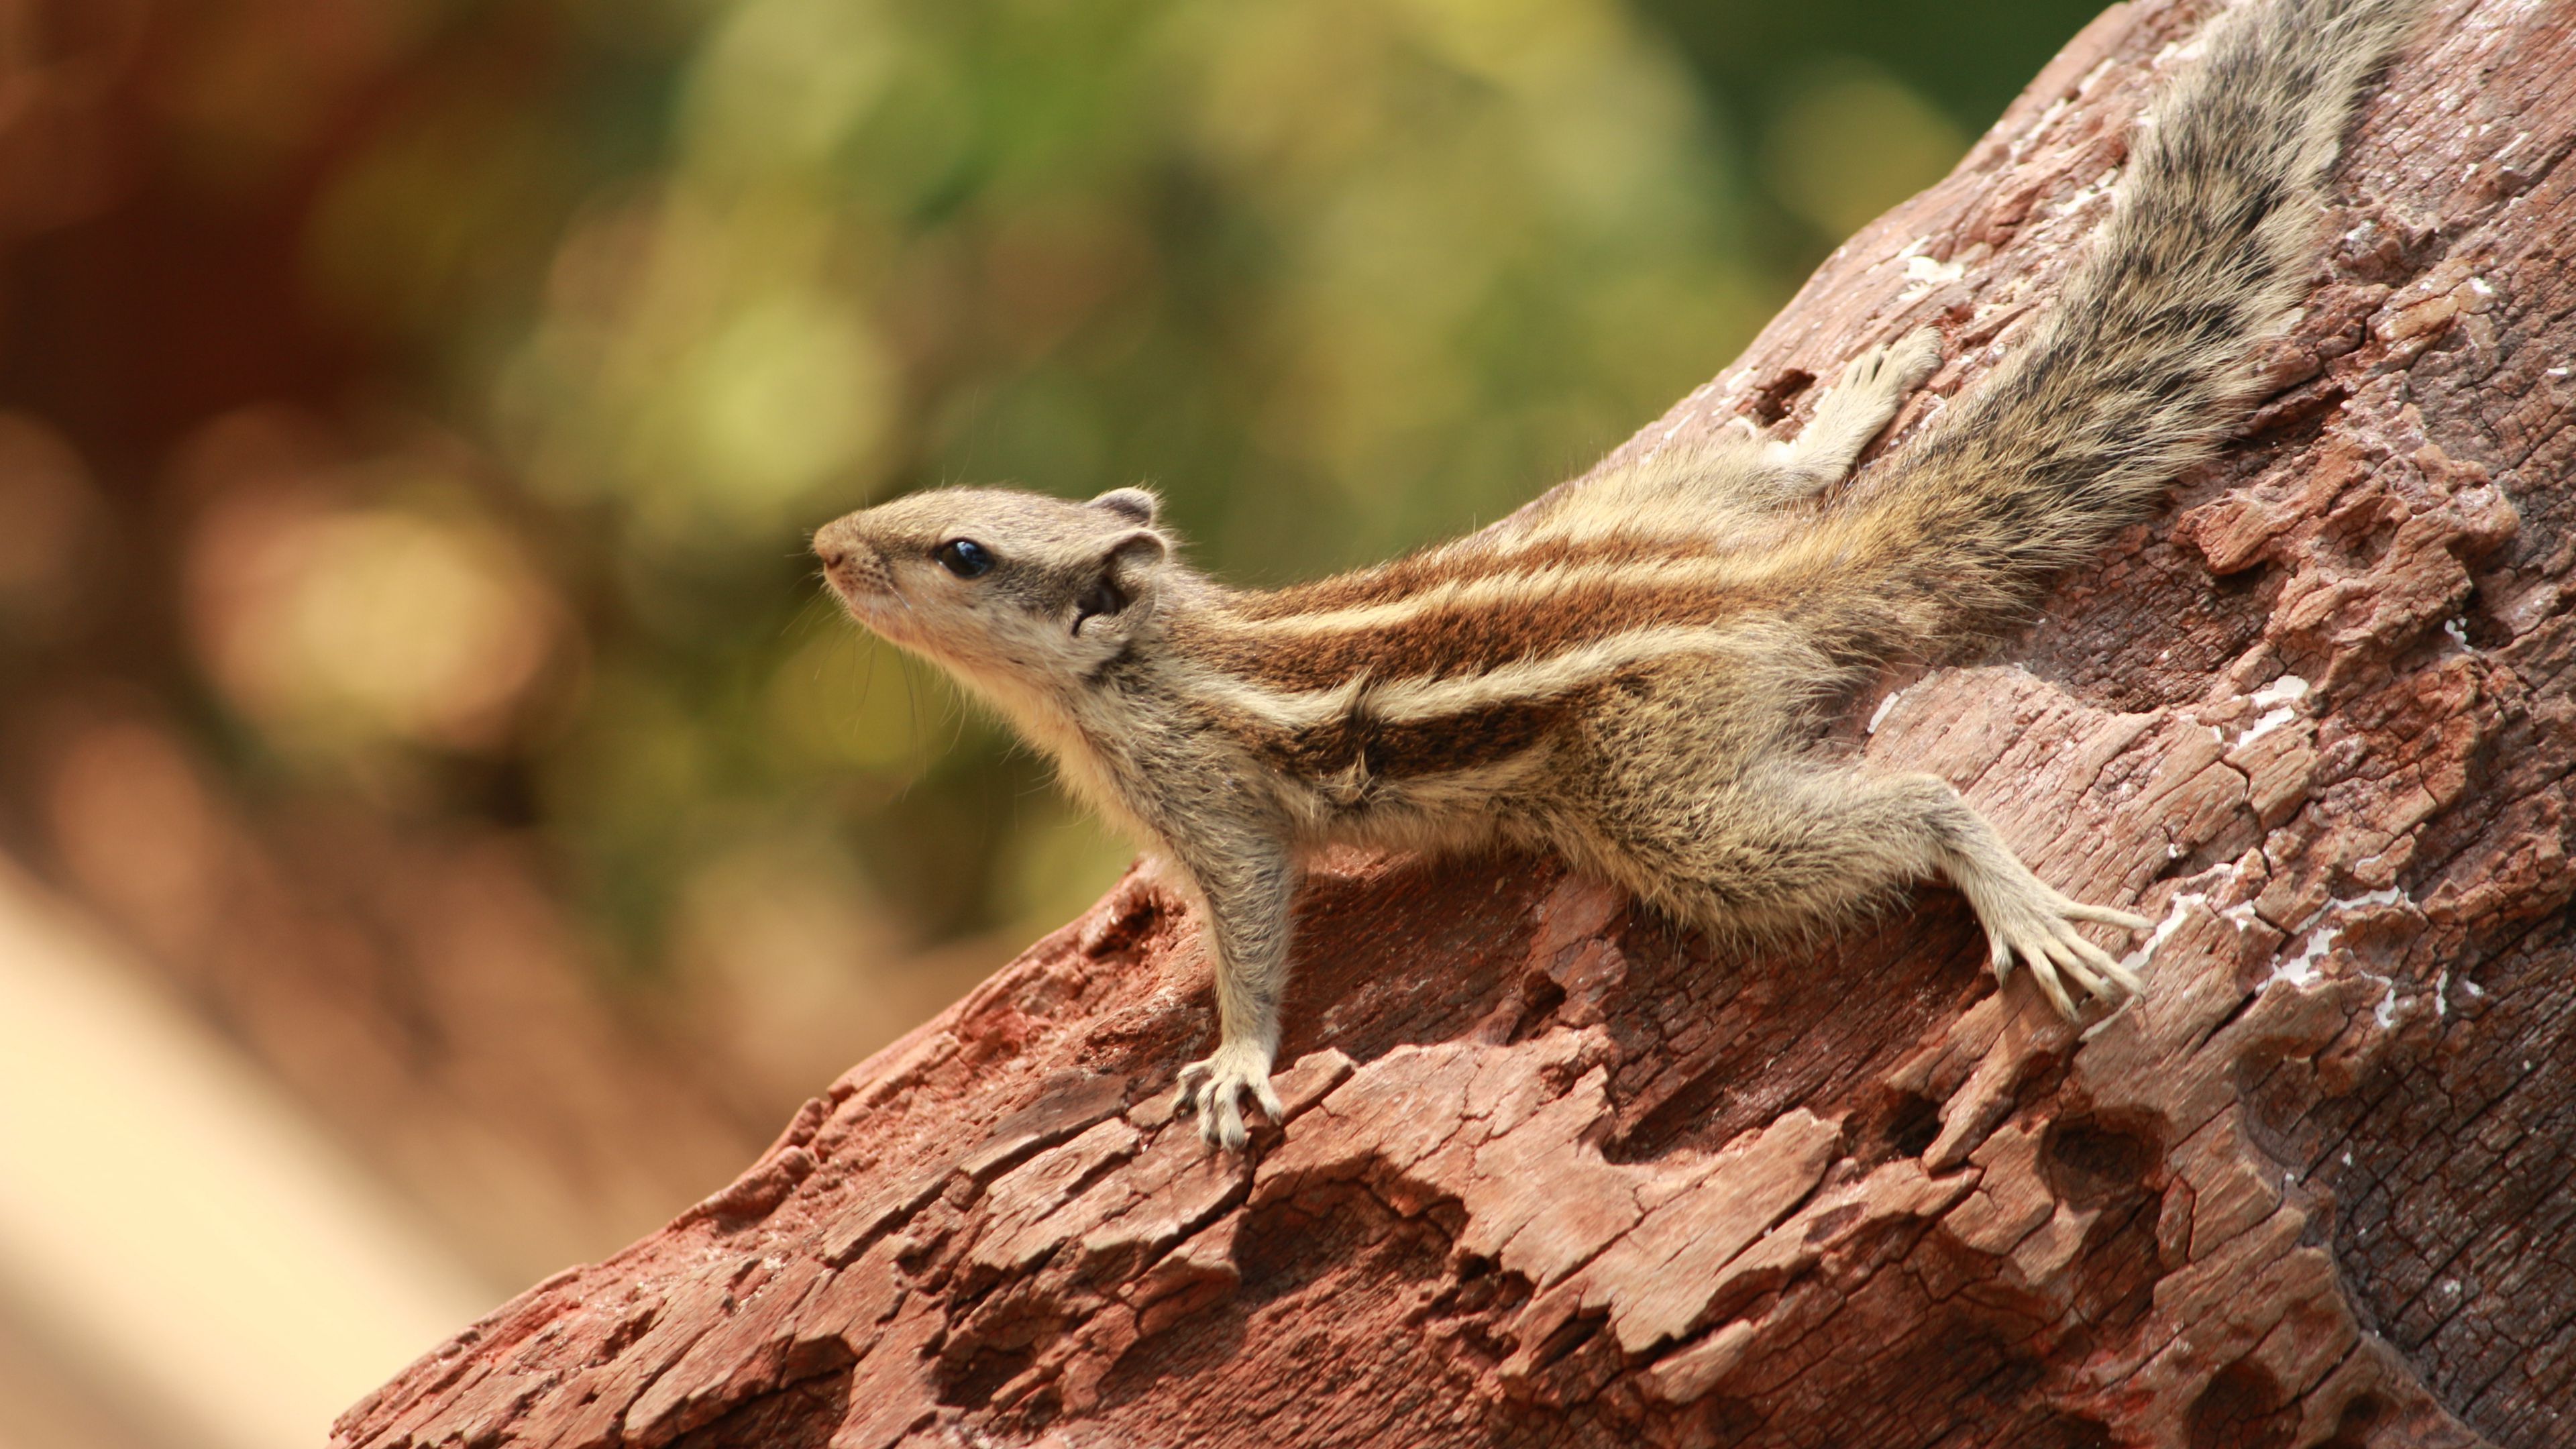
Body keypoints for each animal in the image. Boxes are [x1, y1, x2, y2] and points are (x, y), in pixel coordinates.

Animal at [815, 0, 2428, 1149]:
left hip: (1669, 799)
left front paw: (1236, 1060)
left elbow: (1257, 934)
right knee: (1770, 478)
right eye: (920, 505)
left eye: (961, 553)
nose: (825, 550)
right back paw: (1843, 409)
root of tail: (1737, 595)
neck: (1137, 661)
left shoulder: (1212, 810)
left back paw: (2005, 890)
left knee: (1914, 801)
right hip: (1658, 501)